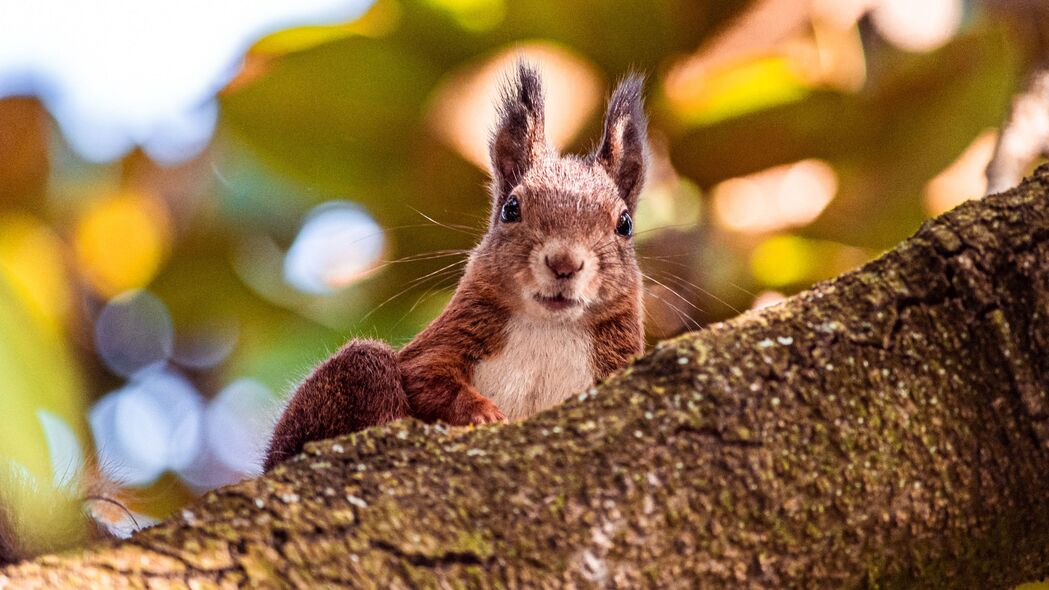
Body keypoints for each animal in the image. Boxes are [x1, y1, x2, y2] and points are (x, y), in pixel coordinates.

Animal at [264, 64, 646, 468]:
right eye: (511, 208)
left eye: (625, 224)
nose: (564, 263)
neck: (549, 328)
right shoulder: (448, 339)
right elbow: (428, 378)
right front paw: (483, 413)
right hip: (352, 376)